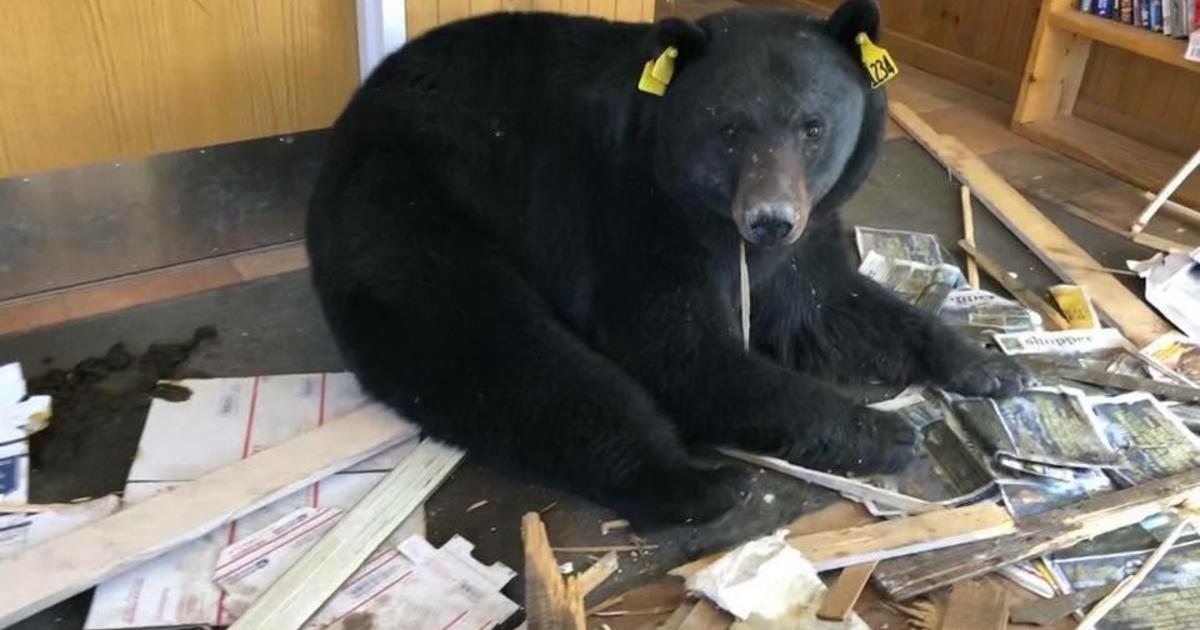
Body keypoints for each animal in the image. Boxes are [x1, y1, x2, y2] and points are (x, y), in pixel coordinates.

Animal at [304, 0, 1027, 520]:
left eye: (813, 126)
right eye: (729, 128)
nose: (769, 218)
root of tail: (348, 120)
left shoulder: (807, 233)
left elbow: (830, 306)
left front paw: (988, 365)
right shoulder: (631, 216)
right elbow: (679, 348)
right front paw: (881, 429)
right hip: (408, 211)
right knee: (510, 355)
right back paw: (694, 483)